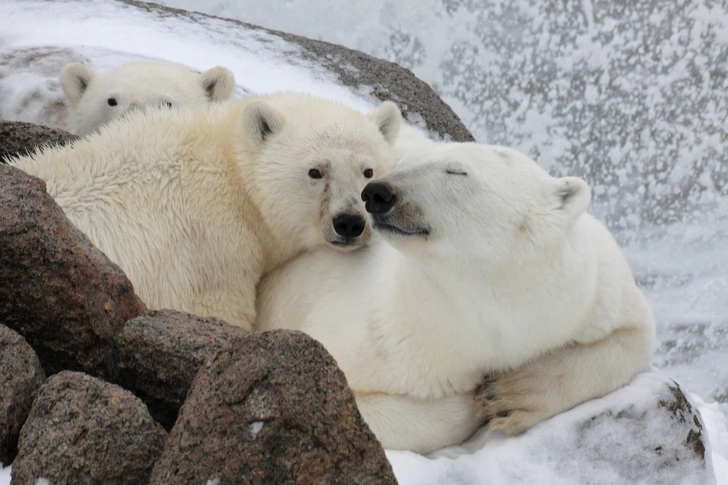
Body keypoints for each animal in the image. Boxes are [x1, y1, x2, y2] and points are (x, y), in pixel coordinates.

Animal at [258, 140, 656, 454]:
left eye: (456, 171)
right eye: (404, 162)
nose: (377, 192)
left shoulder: (587, 291)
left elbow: (633, 337)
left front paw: (511, 395)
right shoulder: (386, 331)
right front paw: (478, 400)